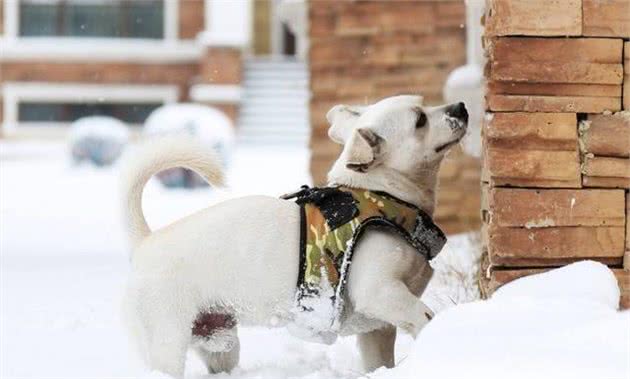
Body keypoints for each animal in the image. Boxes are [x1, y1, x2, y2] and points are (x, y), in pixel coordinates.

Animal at [122, 94, 470, 378]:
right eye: (420, 120)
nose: (461, 107)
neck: (382, 195)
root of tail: (146, 241)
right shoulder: (381, 293)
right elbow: (424, 317)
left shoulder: (378, 329)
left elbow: (381, 360)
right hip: (168, 341)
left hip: (221, 345)